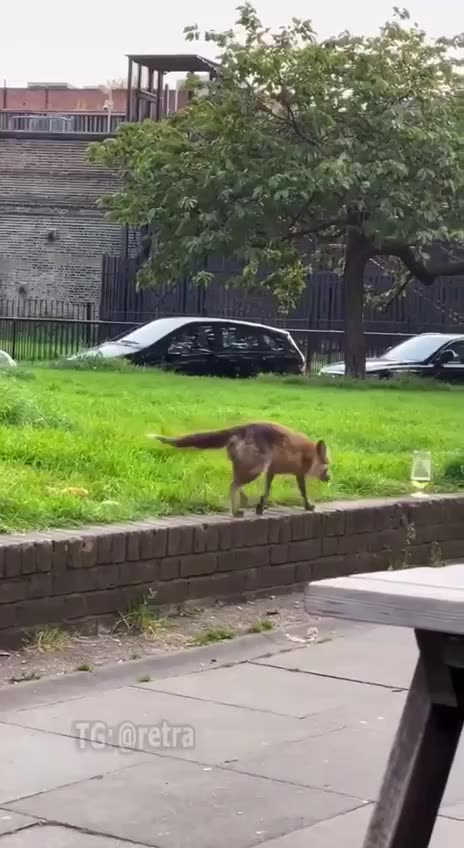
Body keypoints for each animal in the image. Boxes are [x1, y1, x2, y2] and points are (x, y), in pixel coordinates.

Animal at [147, 422, 330, 517]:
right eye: (327, 467)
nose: (330, 478)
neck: (309, 455)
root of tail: (241, 427)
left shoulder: (271, 471)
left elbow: (266, 493)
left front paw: (261, 507)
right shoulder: (298, 473)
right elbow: (303, 493)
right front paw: (309, 506)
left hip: (247, 467)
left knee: (235, 484)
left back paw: (244, 502)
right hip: (256, 468)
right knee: (233, 485)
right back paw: (236, 511)